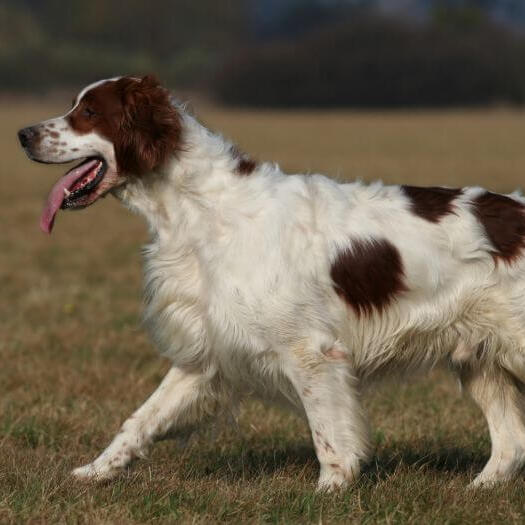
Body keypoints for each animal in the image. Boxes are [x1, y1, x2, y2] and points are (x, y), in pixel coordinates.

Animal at [19, 75, 525, 490]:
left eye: (88, 112)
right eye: (75, 106)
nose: (23, 134)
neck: (202, 210)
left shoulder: (310, 352)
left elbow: (329, 436)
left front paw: (330, 492)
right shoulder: (206, 352)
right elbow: (141, 419)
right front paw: (95, 472)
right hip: (480, 358)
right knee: (511, 441)